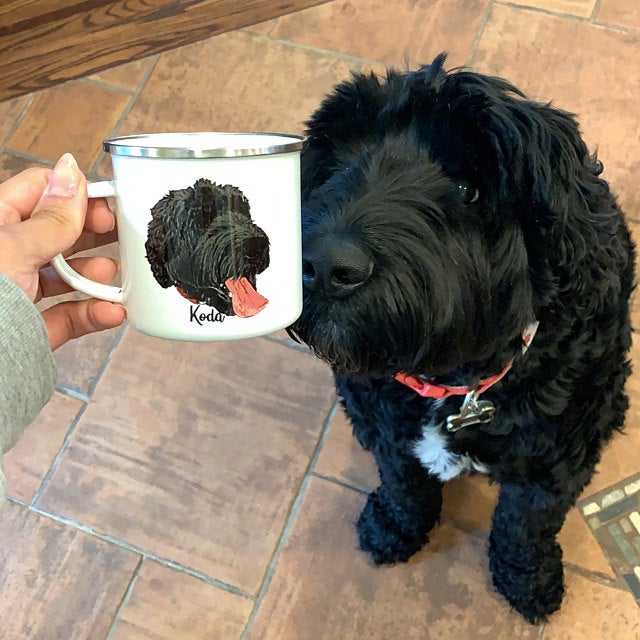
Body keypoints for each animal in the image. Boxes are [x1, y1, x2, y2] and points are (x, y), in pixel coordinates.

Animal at [288, 54, 636, 623]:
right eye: (339, 159)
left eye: (467, 188)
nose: (323, 267)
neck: (456, 384)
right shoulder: (384, 426)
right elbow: (404, 483)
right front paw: (395, 525)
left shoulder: (554, 464)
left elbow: (525, 525)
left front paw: (526, 577)